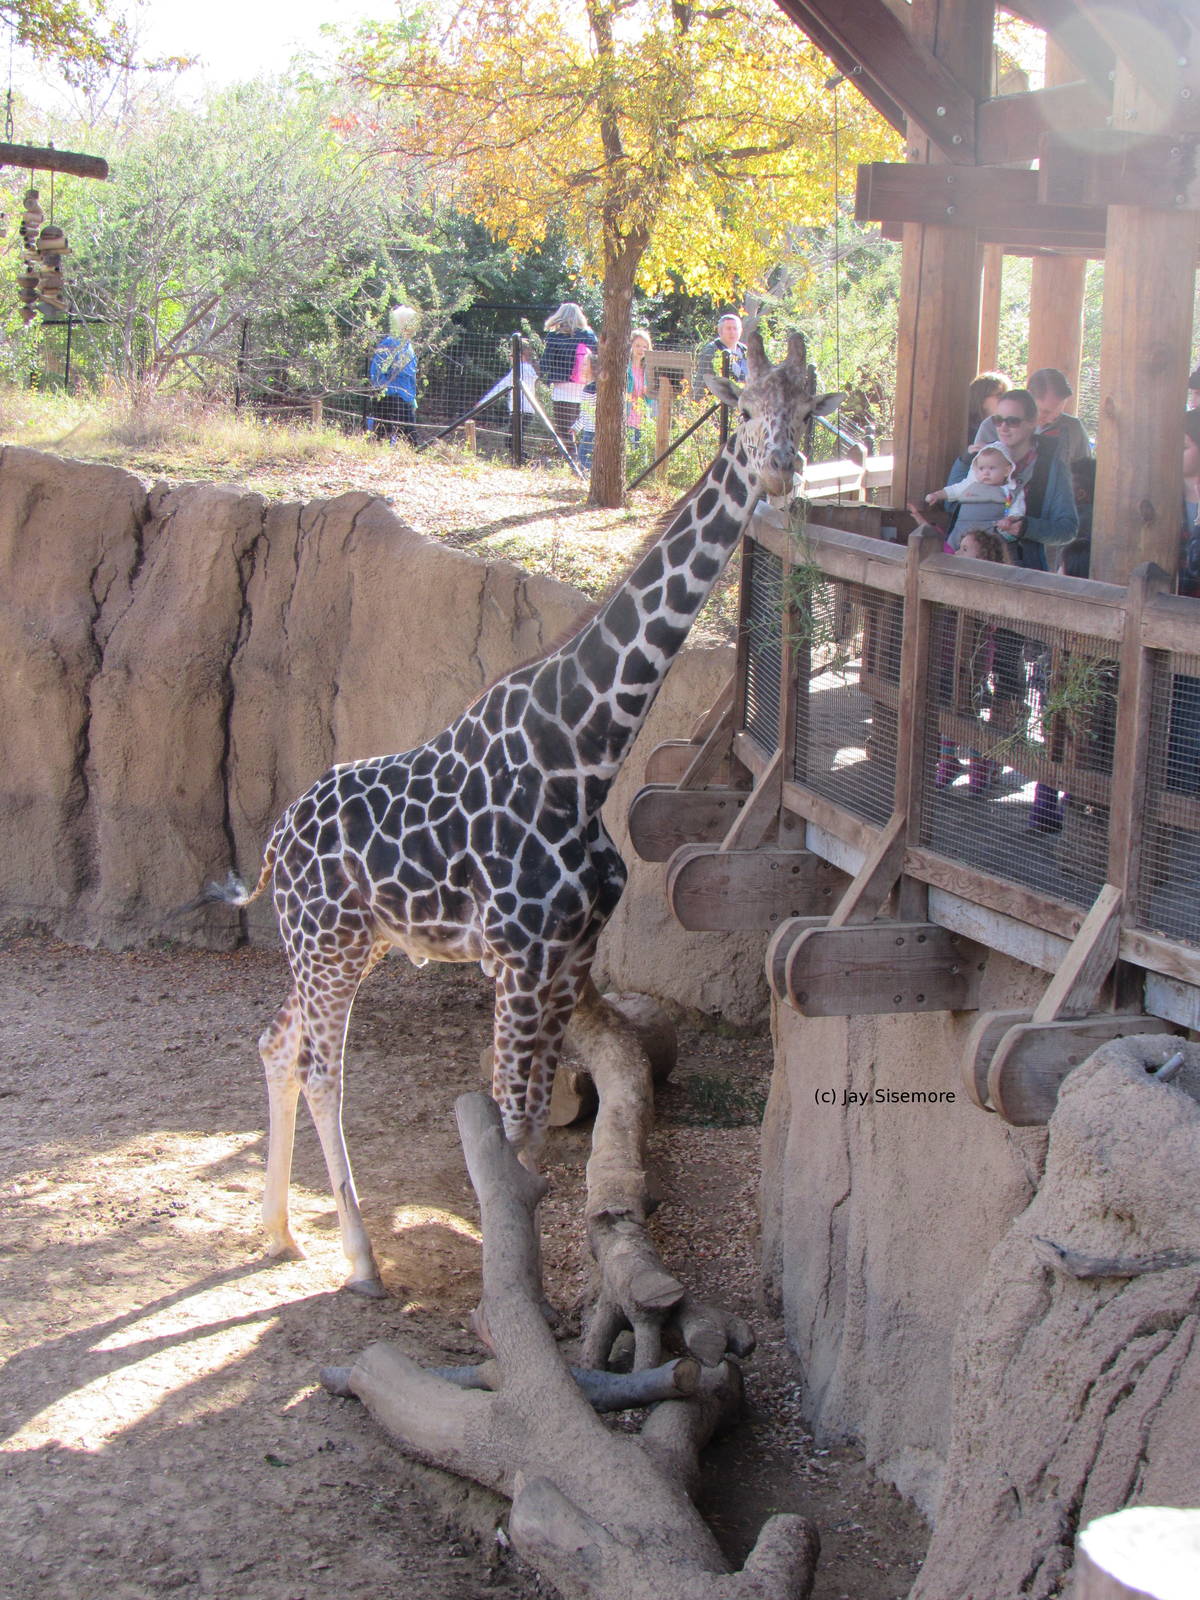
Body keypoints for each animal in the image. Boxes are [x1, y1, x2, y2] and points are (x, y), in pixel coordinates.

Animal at [209, 328, 840, 1295]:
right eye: (747, 404)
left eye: (809, 409)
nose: (781, 467)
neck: (584, 756)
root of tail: (278, 836)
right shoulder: (516, 956)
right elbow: (507, 1128)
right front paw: (507, 1294)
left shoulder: (568, 956)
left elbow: (538, 1125)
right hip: (328, 943)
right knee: (320, 1068)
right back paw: (359, 1259)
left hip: (347, 944)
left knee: (276, 1046)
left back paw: (280, 1232)